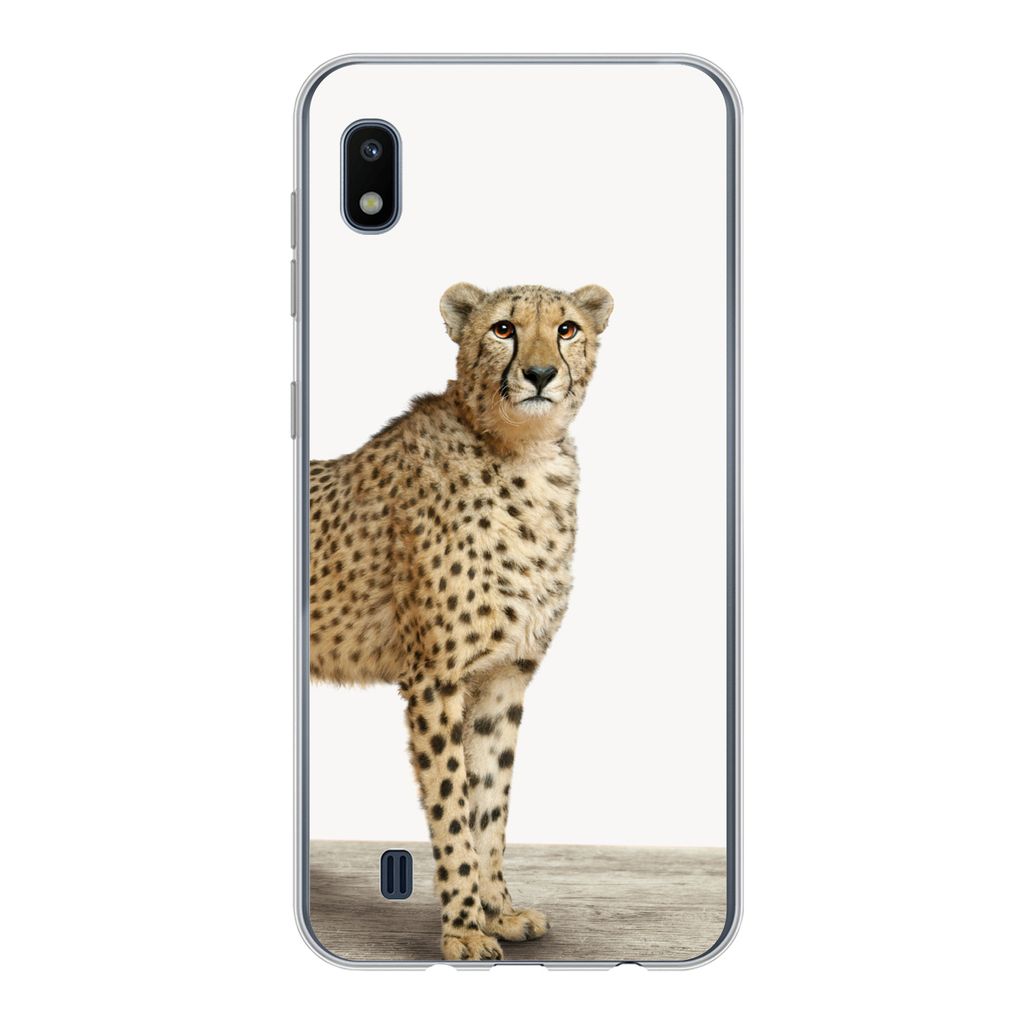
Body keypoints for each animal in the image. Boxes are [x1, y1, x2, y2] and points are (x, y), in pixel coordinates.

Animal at [309, 281, 614, 960]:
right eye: (503, 328)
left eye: (568, 329)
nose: (539, 373)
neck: (524, 455)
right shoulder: (435, 679)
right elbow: (451, 805)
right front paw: (464, 929)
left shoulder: (505, 675)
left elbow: (489, 802)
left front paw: (498, 911)